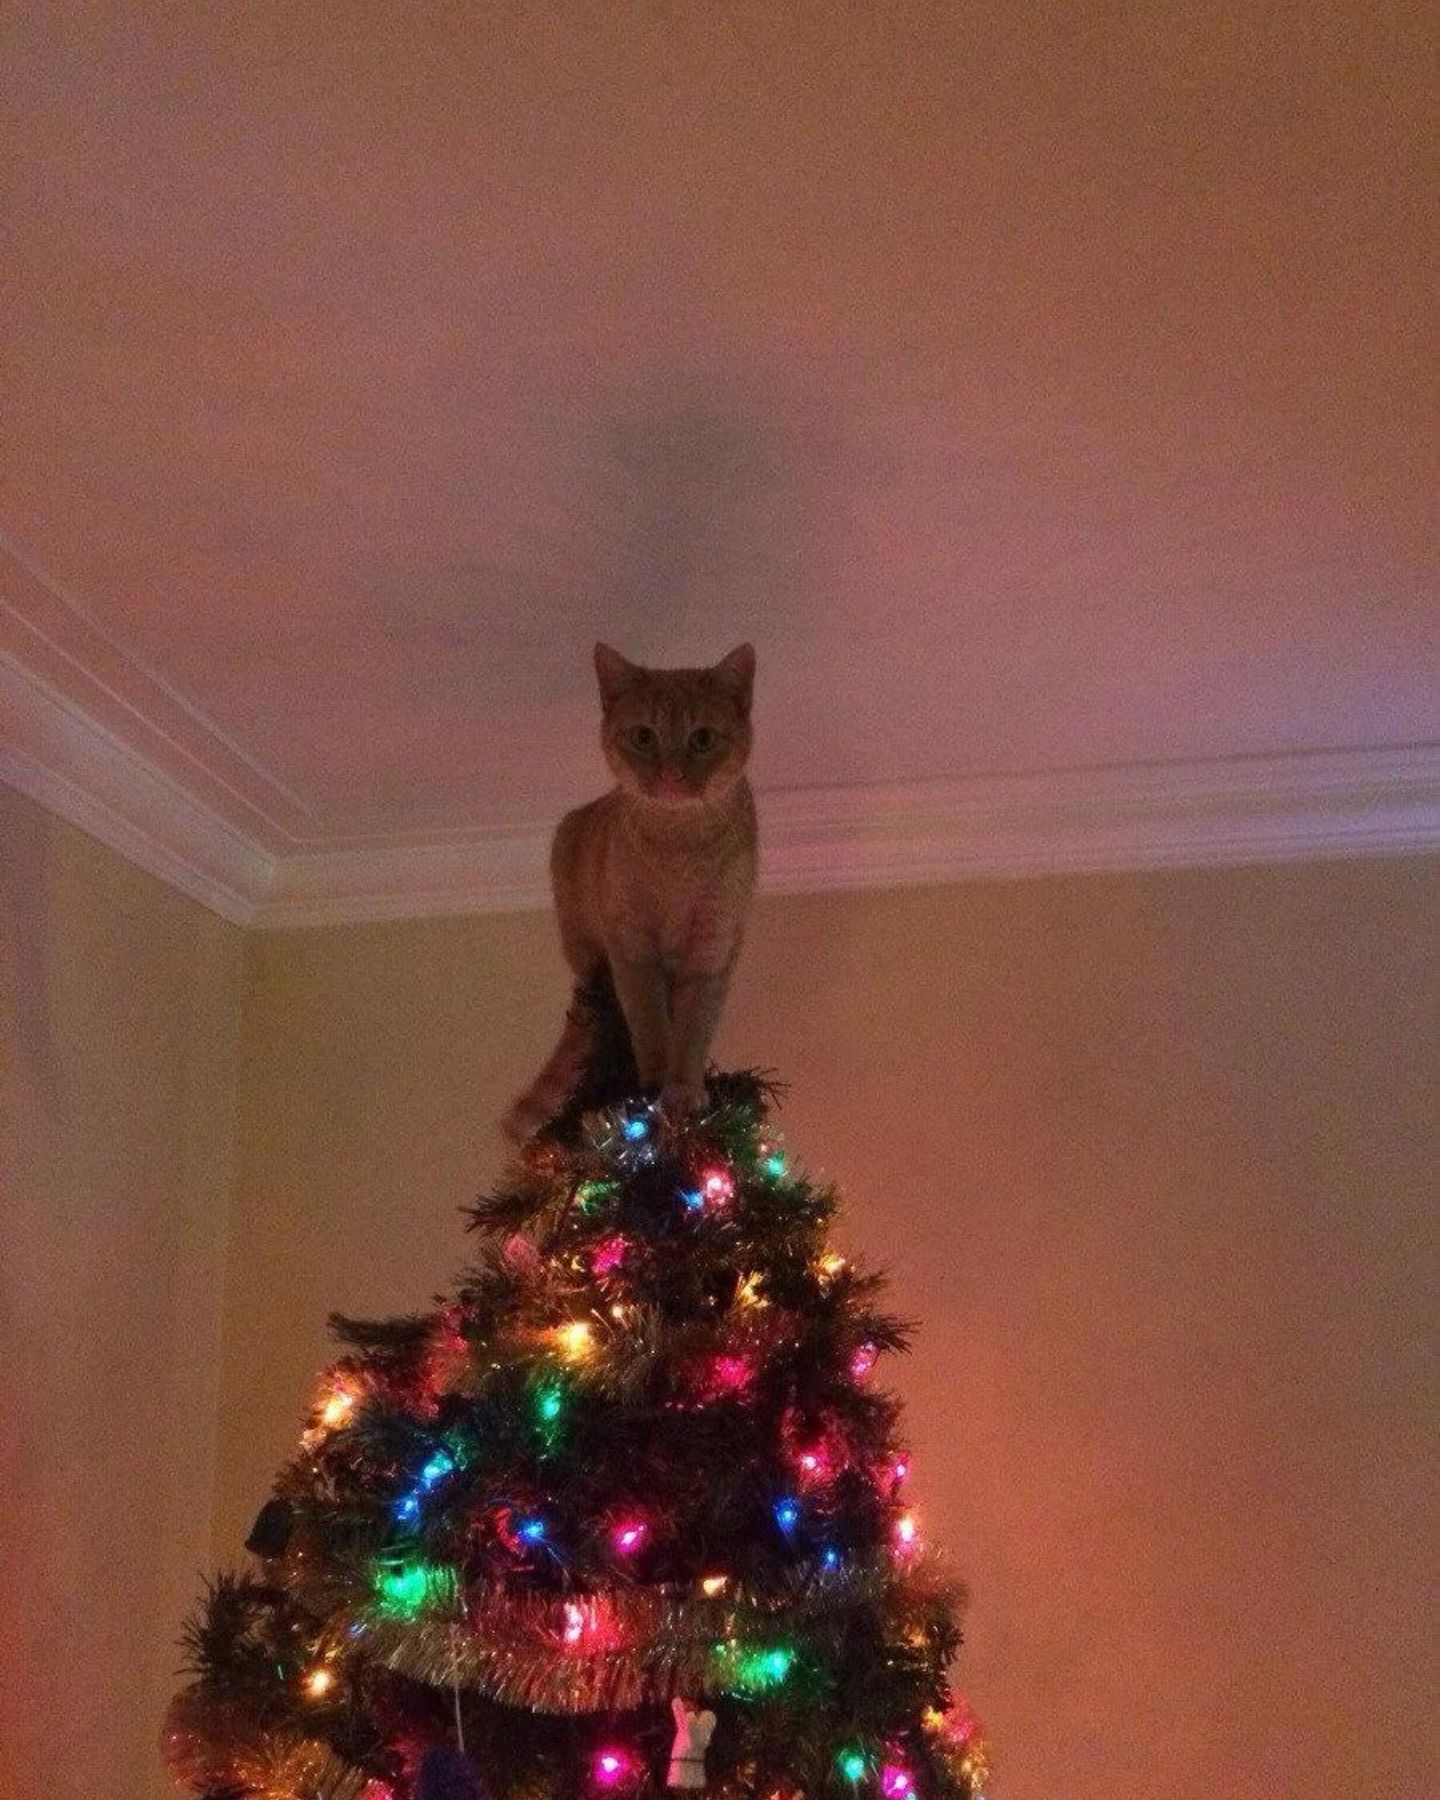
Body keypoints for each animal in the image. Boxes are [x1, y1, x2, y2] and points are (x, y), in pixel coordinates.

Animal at [504, 640, 759, 1137]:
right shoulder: (634, 949)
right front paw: (656, 1085)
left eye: (702, 739)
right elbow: (650, 1024)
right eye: (644, 737)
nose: (670, 776)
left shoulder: (712, 949)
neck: (677, 848)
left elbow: (693, 1031)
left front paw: (684, 1090)